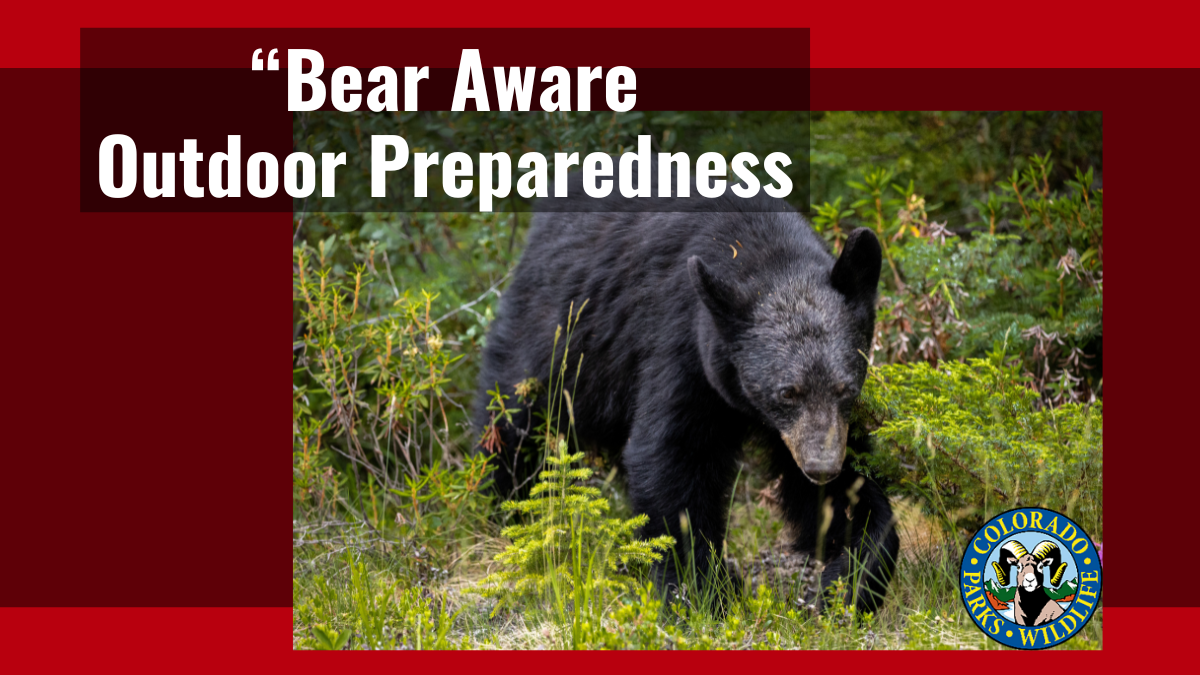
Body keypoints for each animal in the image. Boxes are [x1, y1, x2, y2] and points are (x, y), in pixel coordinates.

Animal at [473, 165, 899, 614]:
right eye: (787, 392)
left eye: (845, 388)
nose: (821, 466)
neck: (763, 251)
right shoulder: (682, 343)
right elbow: (673, 455)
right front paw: (701, 592)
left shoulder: (816, 427)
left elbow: (843, 493)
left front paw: (849, 579)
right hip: (557, 336)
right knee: (513, 421)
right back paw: (509, 511)